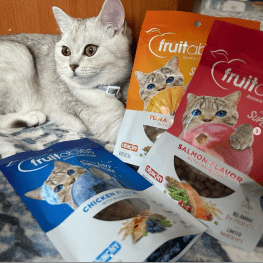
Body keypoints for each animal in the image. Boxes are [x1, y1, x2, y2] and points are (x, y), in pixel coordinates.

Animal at [0, 0, 133, 153]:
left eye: (90, 50)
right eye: (66, 51)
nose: (72, 66)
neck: (113, 89)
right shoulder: (111, 126)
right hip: (20, 54)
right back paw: (30, 117)